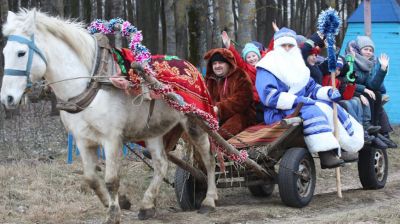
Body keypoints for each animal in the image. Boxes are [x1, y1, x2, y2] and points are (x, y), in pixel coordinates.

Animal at [0, 8, 219, 222]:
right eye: (5, 52)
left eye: (21, 53)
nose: (7, 98)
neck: (90, 83)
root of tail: (190, 66)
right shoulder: (82, 139)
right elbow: (91, 179)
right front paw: (115, 203)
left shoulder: (112, 138)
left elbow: (111, 180)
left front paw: (113, 214)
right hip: (152, 130)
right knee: (161, 164)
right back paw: (147, 205)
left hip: (196, 123)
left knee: (209, 159)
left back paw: (209, 200)